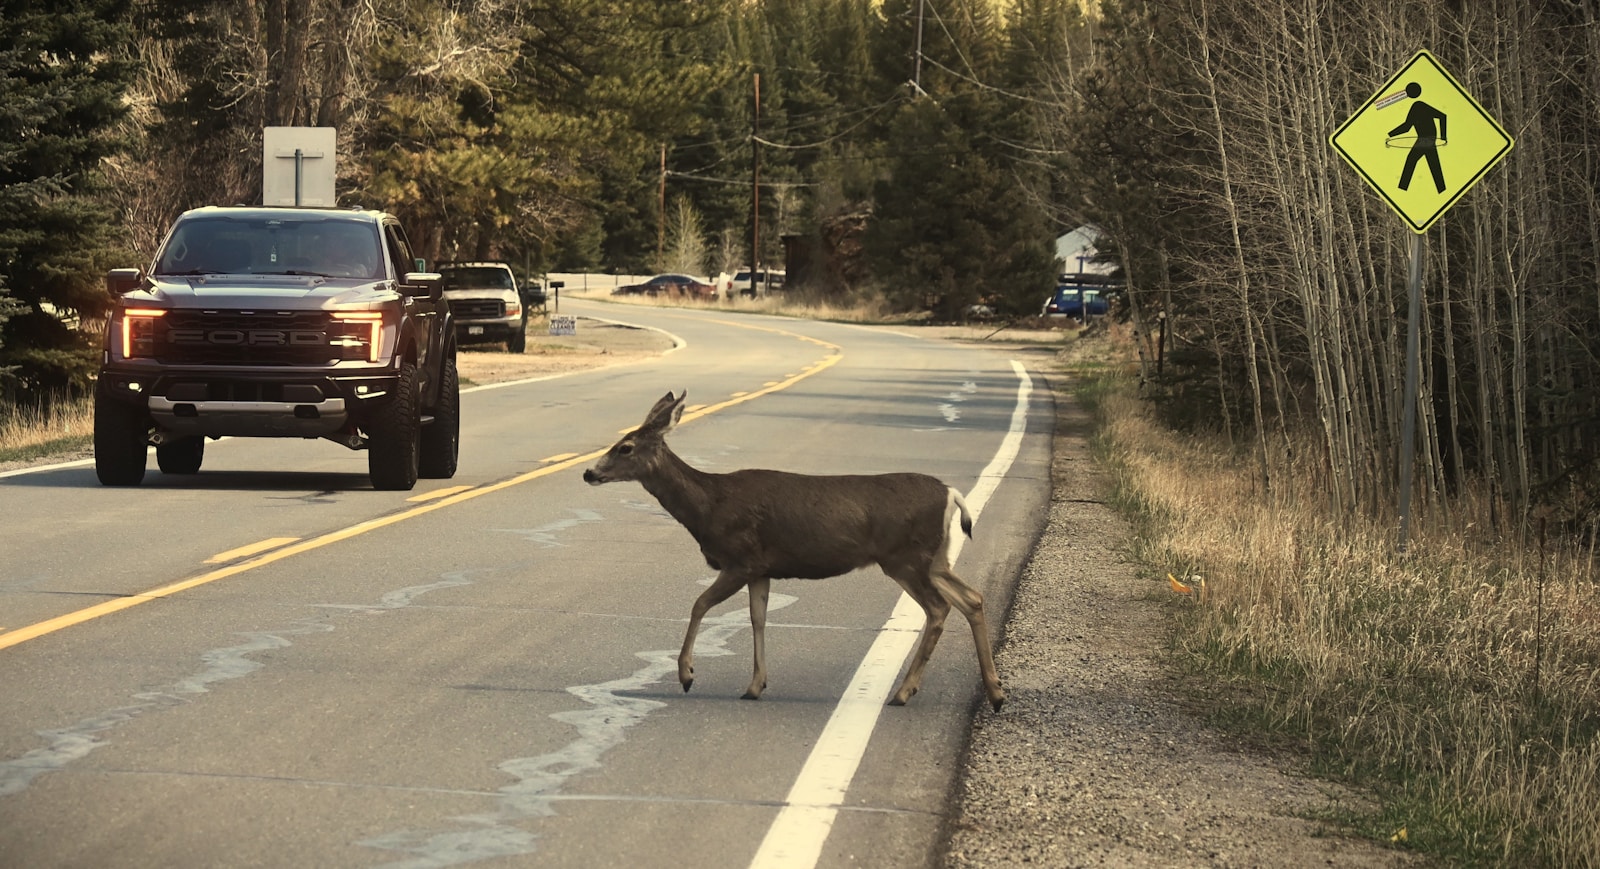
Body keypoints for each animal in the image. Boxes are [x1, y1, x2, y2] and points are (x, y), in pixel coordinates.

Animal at [582, 391, 1005, 712]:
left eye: (625, 447)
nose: (589, 473)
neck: (708, 506)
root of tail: (951, 494)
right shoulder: (762, 569)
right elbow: (757, 618)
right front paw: (755, 685)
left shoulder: (741, 558)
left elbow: (699, 604)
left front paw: (687, 675)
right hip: (933, 560)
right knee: (972, 598)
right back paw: (995, 692)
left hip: (905, 558)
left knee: (939, 607)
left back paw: (904, 692)